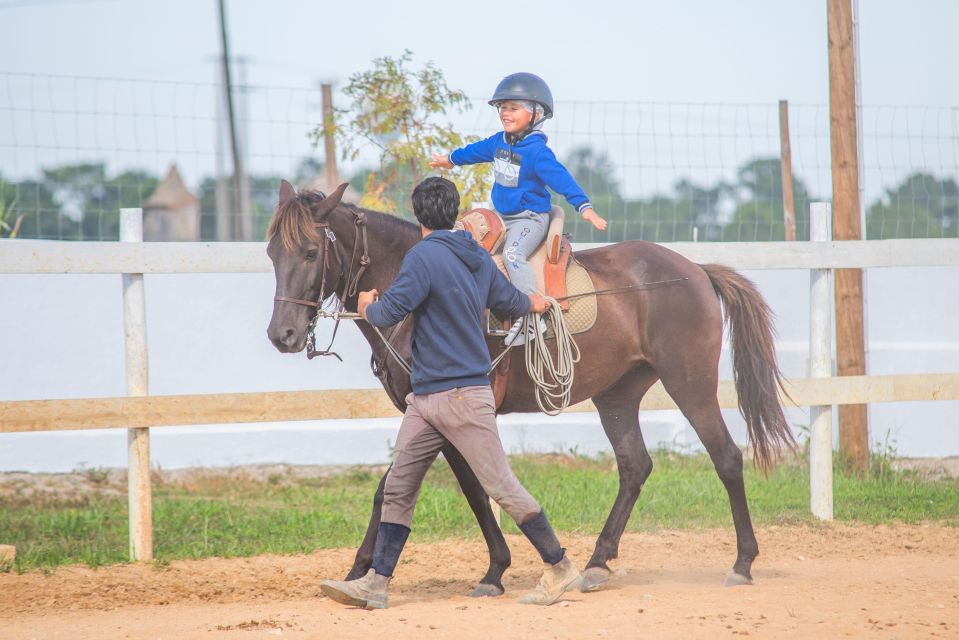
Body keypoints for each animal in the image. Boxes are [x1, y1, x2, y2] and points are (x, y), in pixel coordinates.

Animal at [264, 182, 796, 596]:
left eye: (311, 251)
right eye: (272, 253)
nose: (281, 335)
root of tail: (696, 271)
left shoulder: (453, 411)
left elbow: (475, 489)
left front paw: (495, 571)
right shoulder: (422, 412)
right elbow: (390, 489)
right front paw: (358, 570)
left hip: (690, 384)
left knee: (726, 458)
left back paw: (742, 563)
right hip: (617, 395)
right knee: (634, 467)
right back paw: (597, 563)